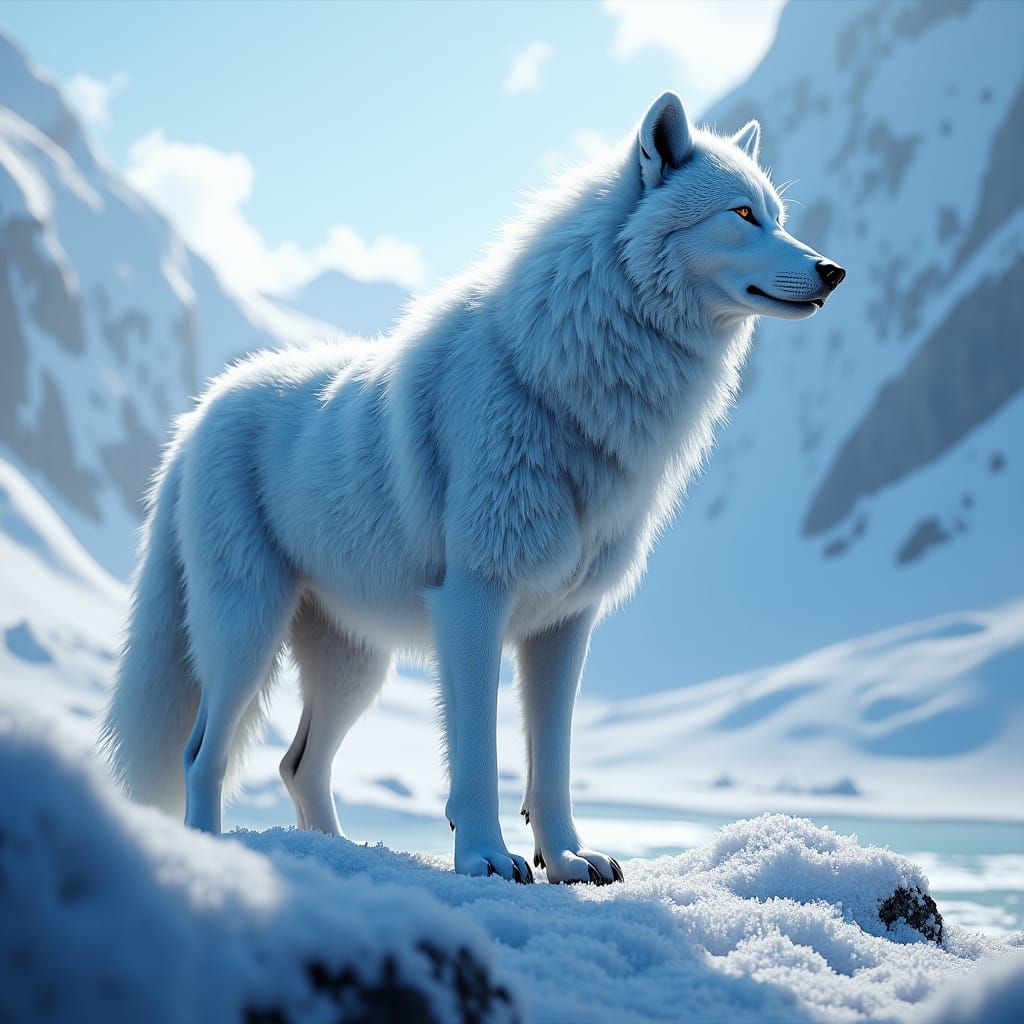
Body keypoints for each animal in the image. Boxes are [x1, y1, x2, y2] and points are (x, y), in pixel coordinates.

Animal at [103, 92, 844, 884]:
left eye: (779, 215)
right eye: (742, 215)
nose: (833, 270)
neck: (565, 383)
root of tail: (196, 415)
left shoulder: (565, 623)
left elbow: (553, 761)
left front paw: (567, 857)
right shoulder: (472, 601)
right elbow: (479, 755)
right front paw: (486, 856)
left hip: (353, 666)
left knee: (297, 765)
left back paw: (334, 856)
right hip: (245, 634)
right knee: (200, 756)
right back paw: (210, 855)